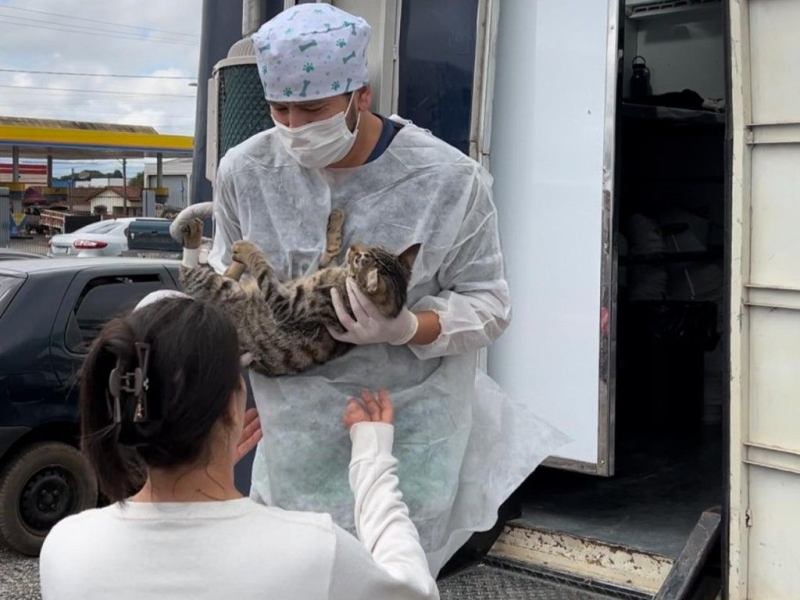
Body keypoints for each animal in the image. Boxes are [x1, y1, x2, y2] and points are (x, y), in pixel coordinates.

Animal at [179, 207, 422, 376]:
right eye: (368, 250)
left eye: (360, 259)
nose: (355, 246)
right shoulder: (325, 266)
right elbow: (332, 247)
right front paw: (337, 219)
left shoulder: (285, 307)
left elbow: (263, 267)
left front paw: (248, 250)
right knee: (227, 272)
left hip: (219, 288)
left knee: (188, 271)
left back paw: (205, 239)